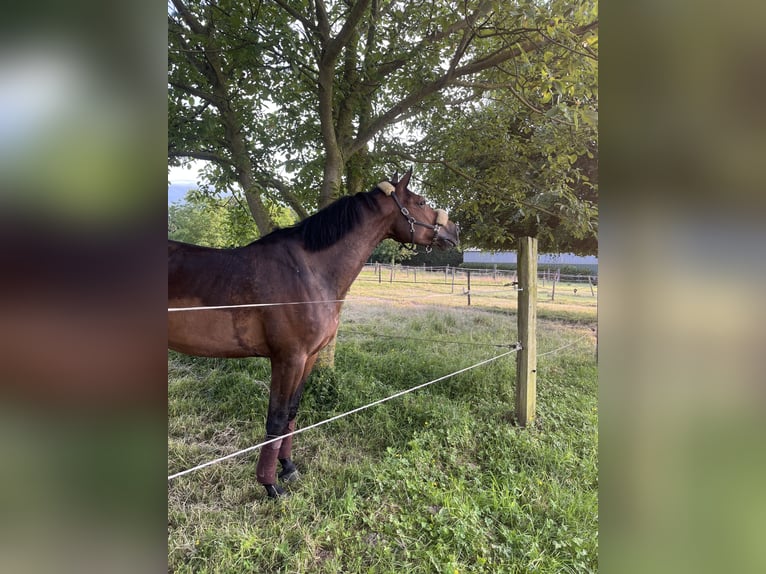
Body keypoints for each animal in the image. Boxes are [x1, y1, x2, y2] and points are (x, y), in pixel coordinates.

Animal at [168, 169, 459, 498]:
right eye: (421, 201)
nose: (454, 231)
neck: (309, 271)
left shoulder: (308, 358)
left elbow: (292, 414)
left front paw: (288, 468)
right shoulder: (288, 359)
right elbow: (276, 420)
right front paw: (270, 485)